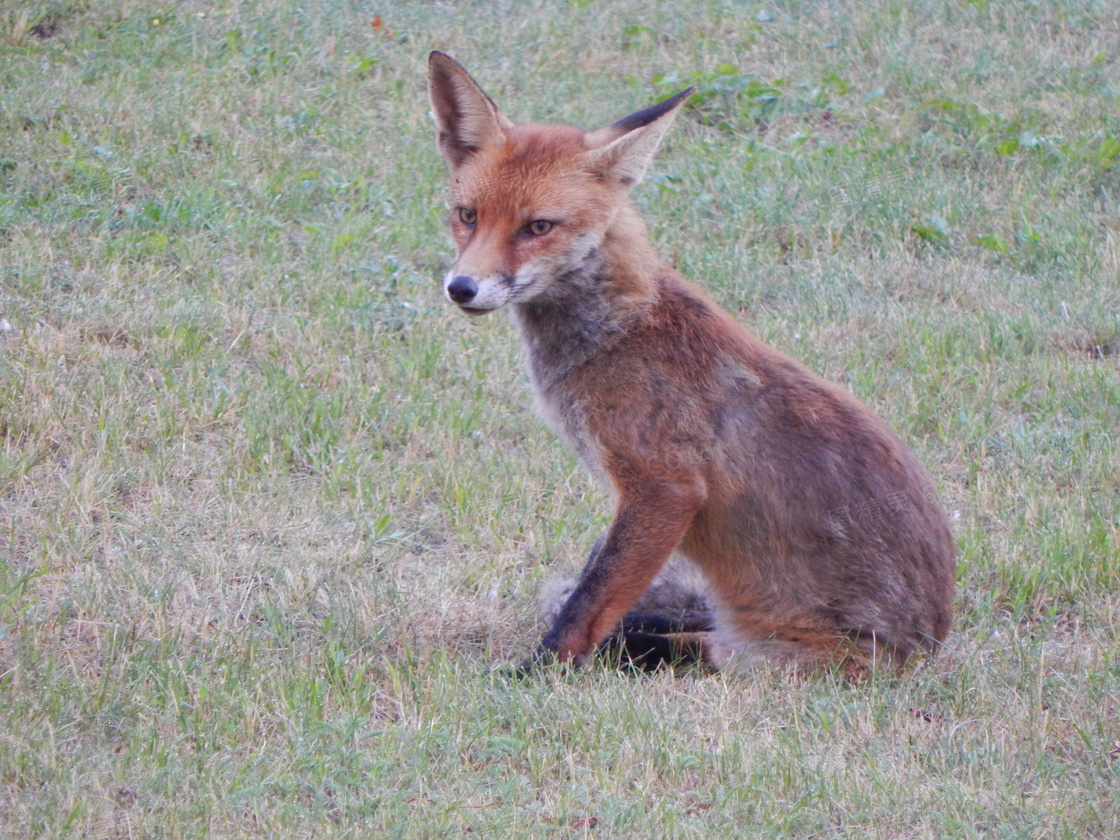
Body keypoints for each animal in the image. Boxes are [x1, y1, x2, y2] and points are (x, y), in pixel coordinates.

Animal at [427, 50, 954, 676]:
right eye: (467, 215)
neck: (619, 330)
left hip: (763, 658)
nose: (461, 288)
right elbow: (590, 590)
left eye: (538, 227)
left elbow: (586, 604)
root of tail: (929, 646)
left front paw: (536, 675)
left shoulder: (664, 485)